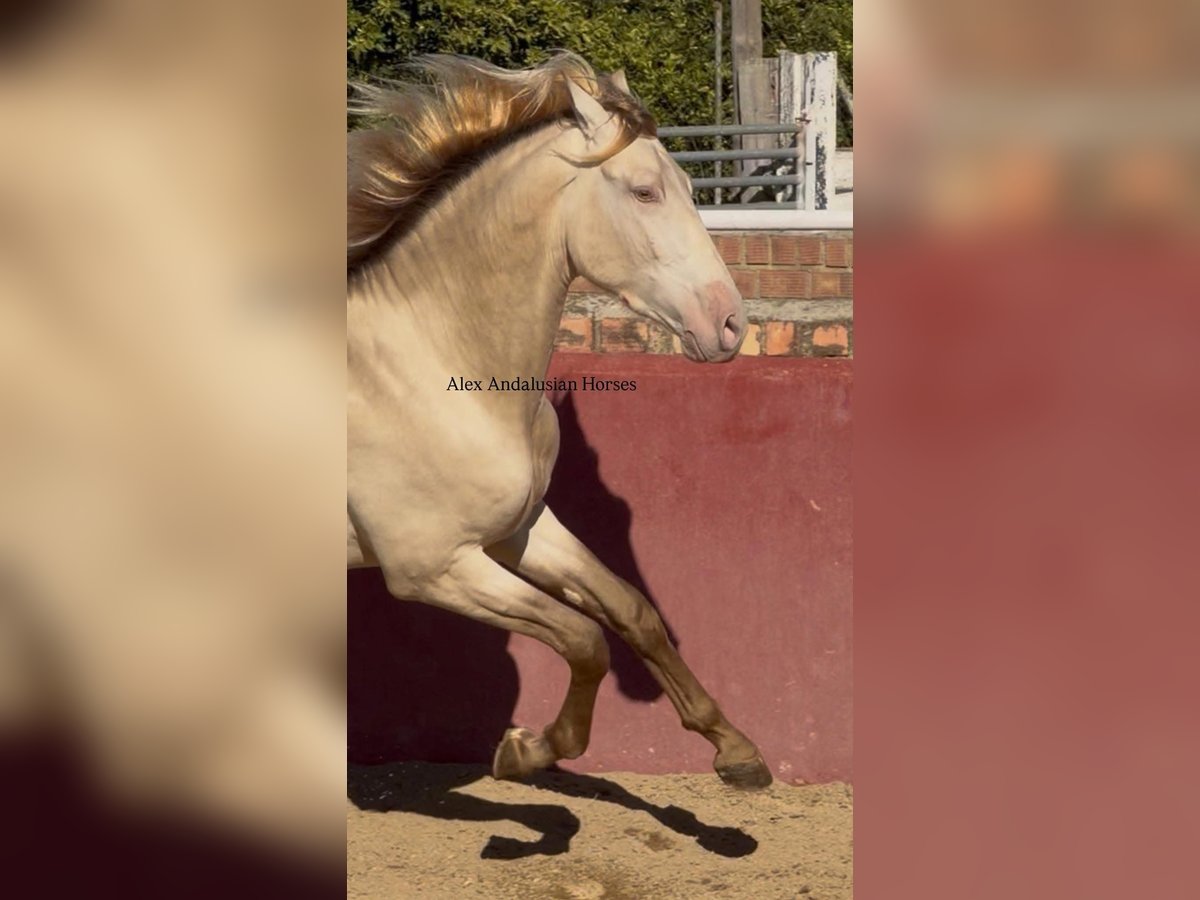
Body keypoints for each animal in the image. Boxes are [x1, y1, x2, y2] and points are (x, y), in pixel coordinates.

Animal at [346, 53, 772, 790]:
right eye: (644, 192)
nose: (729, 324)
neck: (429, 363)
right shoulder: (433, 568)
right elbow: (584, 639)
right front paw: (527, 749)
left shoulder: (517, 532)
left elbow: (632, 610)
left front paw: (737, 750)